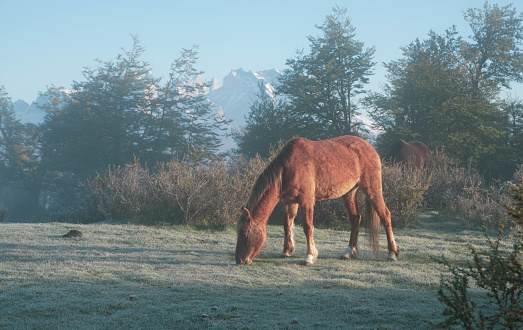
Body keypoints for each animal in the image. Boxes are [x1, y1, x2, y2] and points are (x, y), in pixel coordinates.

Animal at [235, 134, 400, 266]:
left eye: (244, 233)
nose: (239, 260)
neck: (289, 166)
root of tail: (371, 149)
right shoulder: (290, 201)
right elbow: (287, 224)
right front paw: (287, 250)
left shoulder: (306, 200)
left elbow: (308, 227)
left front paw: (309, 256)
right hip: (349, 194)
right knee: (355, 219)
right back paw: (349, 252)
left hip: (372, 190)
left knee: (385, 216)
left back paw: (392, 253)